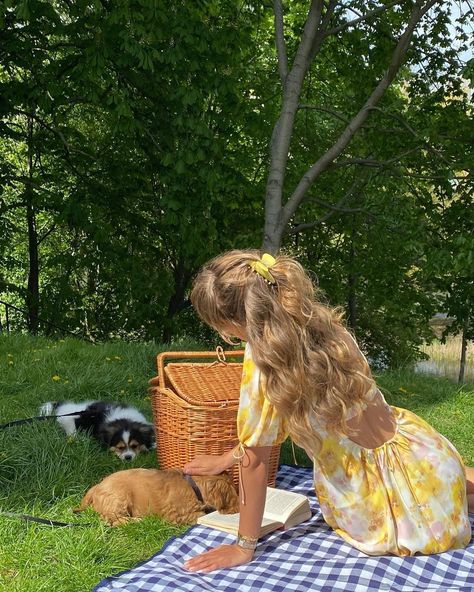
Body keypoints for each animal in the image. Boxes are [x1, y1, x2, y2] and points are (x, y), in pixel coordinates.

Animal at [75, 470, 239, 524]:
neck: (194, 486)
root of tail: (95, 487)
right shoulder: (177, 515)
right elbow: (200, 515)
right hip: (118, 499)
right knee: (112, 521)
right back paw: (137, 521)